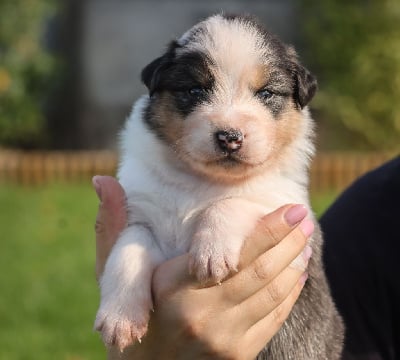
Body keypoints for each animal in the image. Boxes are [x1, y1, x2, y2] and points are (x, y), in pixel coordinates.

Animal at [94, 13, 344, 358]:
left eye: (266, 94)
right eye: (195, 90)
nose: (229, 137)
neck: (204, 181)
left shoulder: (287, 209)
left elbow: (233, 201)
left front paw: (212, 252)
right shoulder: (139, 212)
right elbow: (128, 251)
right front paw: (119, 319)